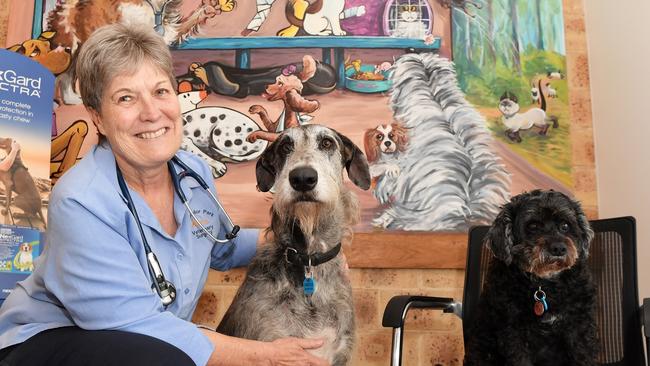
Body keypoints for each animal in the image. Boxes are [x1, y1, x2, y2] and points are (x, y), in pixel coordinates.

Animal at [464, 190, 596, 364]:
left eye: (565, 225)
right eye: (533, 226)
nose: (558, 248)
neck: (545, 284)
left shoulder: (579, 326)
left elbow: (583, 355)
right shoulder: (513, 330)